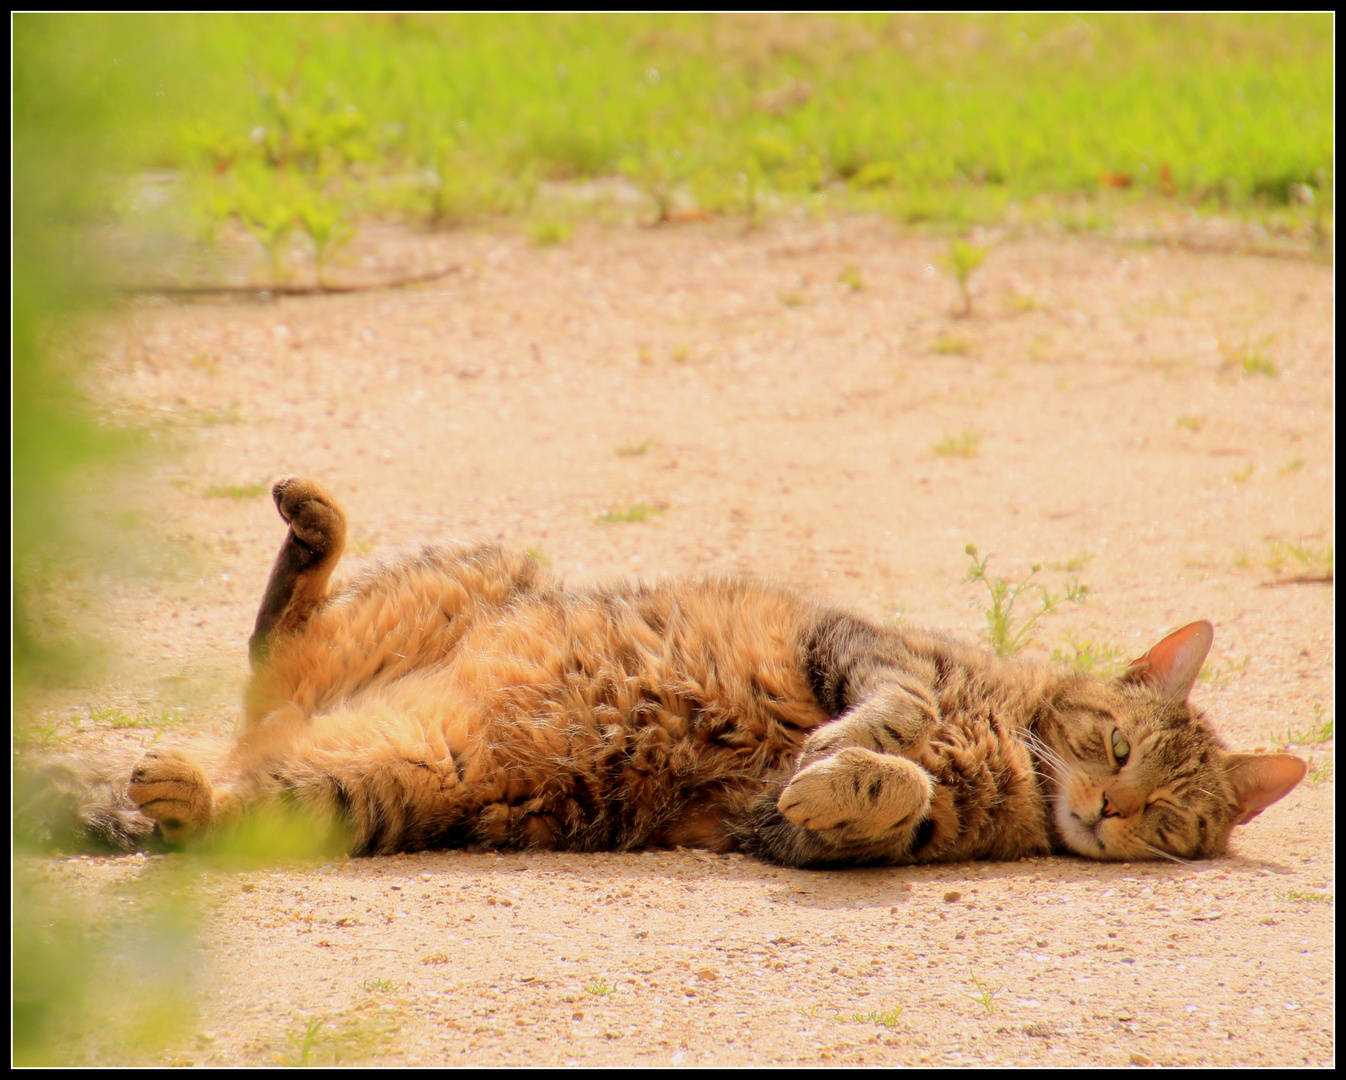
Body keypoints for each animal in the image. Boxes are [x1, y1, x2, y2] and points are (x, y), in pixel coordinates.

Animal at [57, 476, 1308, 861]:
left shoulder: (791, 833)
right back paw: (312, 523)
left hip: (369, 788)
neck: (1003, 746)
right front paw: (859, 746)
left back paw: (181, 795)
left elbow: (877, 797)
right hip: (484, 563)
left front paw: (852, 777)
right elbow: (893, 712)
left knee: (239, 768)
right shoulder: (857, 641)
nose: (1111, 809)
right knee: (274, 635)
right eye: (1114, 744)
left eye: (1174, 819)